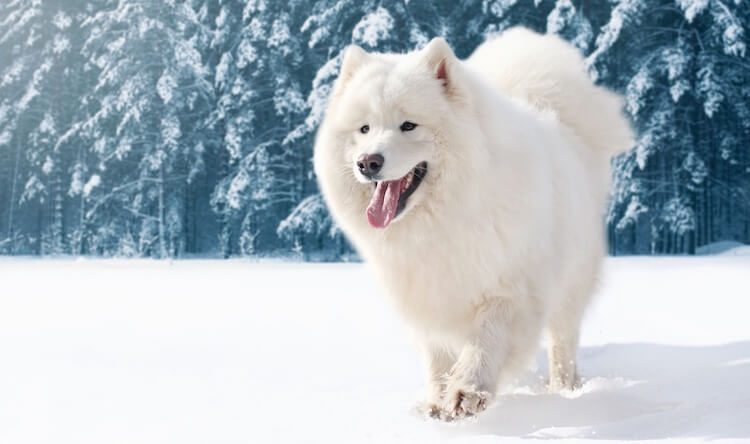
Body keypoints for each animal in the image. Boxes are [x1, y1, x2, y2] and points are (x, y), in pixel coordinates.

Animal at [312, 27, 636, 420]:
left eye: (408, 125)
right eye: (364, 128)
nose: (368, 162)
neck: (447, 220)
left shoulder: (511, 288)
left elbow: (487, 338)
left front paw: (468, 391)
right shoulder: (427, 294)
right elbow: (437, 355)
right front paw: (437, 402)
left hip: (571, 283)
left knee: (564, 342)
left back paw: (564, 389)